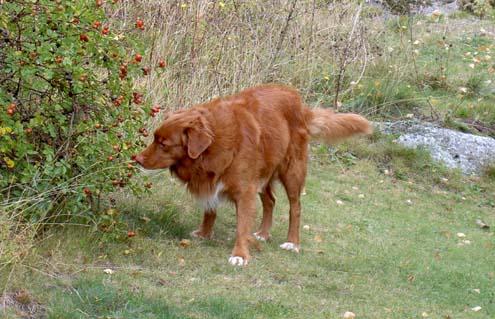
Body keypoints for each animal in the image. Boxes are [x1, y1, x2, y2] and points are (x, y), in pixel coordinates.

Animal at [136, 85, 372, 268]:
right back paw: (263, 233)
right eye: (154, 137)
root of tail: (298, 101)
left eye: (164, 144)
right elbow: (210, 211)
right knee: (270, 201)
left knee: (295, 207)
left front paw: (240, 255)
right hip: (263, 172)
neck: (215, 143)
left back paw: (292, 242)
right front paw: (204, 233)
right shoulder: (212, 181)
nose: (136, 158)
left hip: (291, 171)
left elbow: (242, 225)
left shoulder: (244, 190)